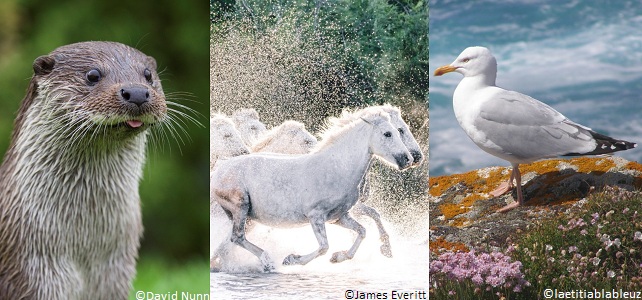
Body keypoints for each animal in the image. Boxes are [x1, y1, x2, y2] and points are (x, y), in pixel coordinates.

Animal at [210, 108, 410, 272]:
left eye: (398, 131)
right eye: (387, 133)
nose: (407, 159)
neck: (337, 168)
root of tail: (217, 172)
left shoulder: (339, 217)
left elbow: (362, 231)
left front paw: (339, 257)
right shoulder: (316, 216)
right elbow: (324, 247)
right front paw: (291, 259)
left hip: (247, 217)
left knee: (230, 243)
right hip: (240, 206)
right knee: (236, 237)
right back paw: (268, 262)